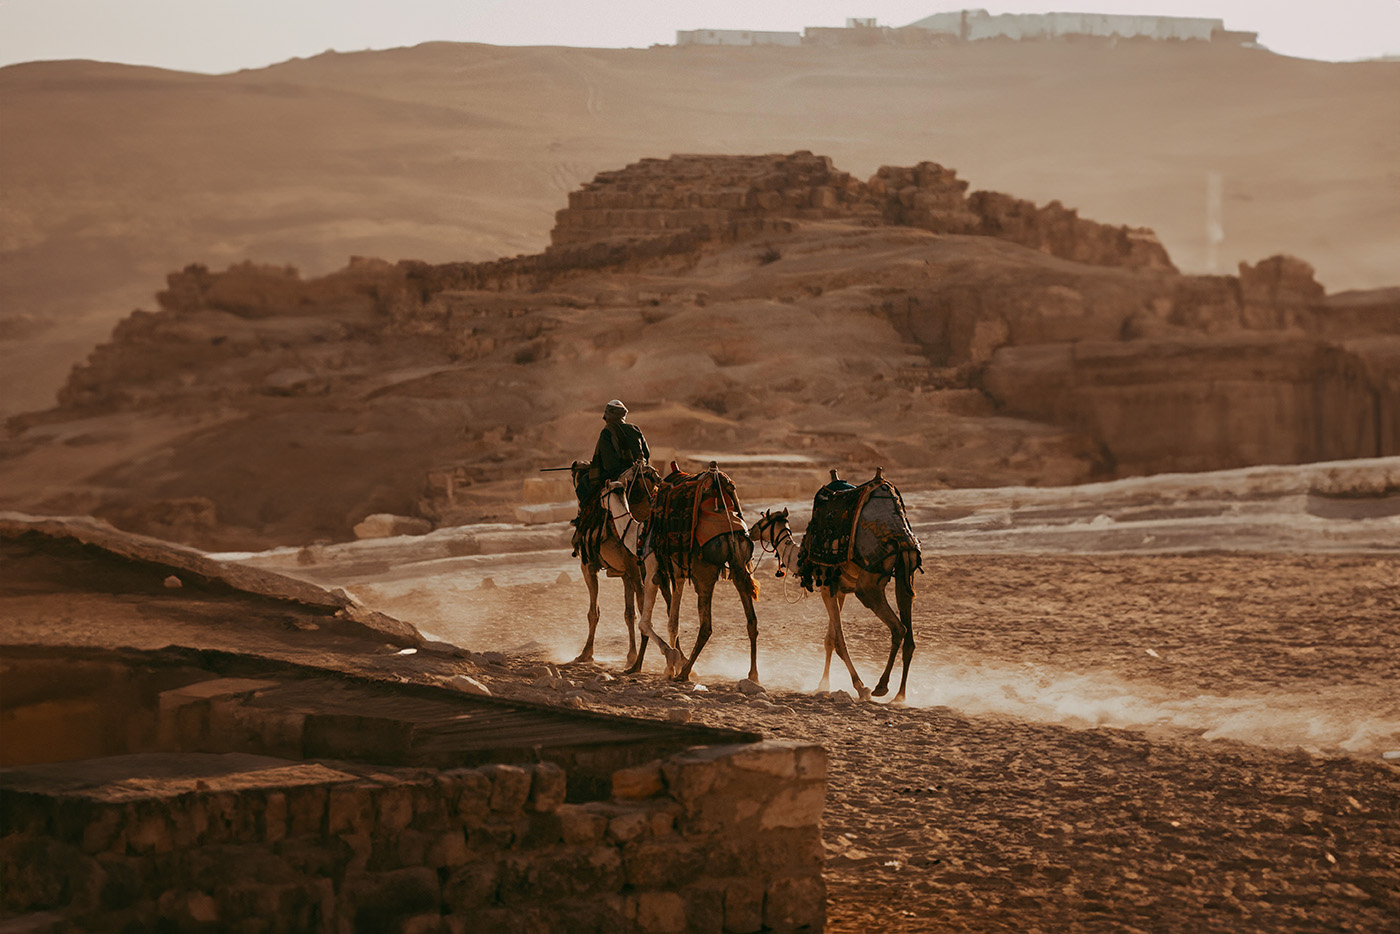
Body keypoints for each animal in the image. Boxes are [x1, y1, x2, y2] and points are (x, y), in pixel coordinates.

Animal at [565, 459, 663, 663]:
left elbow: (593, 612)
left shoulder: (588, 567)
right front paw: (631, 655)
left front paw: (586, 653)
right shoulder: (626, 574)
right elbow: (629, 614)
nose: (577, 465)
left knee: (644, 604)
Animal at [635, 464, 767, 683]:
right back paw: (753, 674)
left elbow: (646, 622)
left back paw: (685, 672)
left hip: (704, 575)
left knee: (706, 626)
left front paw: (671, 663)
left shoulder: (653, 569)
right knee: (752, 621)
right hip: (739, 566)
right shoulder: (677, 575)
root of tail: (730, 534)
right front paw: (672, 664)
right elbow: (673, 623)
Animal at [750, 476, 924, 700]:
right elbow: (830, 639)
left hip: (868, 586)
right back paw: (900, 695)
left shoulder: (826, 588)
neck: (801, 557)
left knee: (898, 628)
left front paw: (860, 687)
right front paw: (823, 684)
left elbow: (839, 641)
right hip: (907, 570)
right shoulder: (838, 590)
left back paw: (881, 686)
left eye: (762, 521)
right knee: (909, 631)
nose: (750, 530)